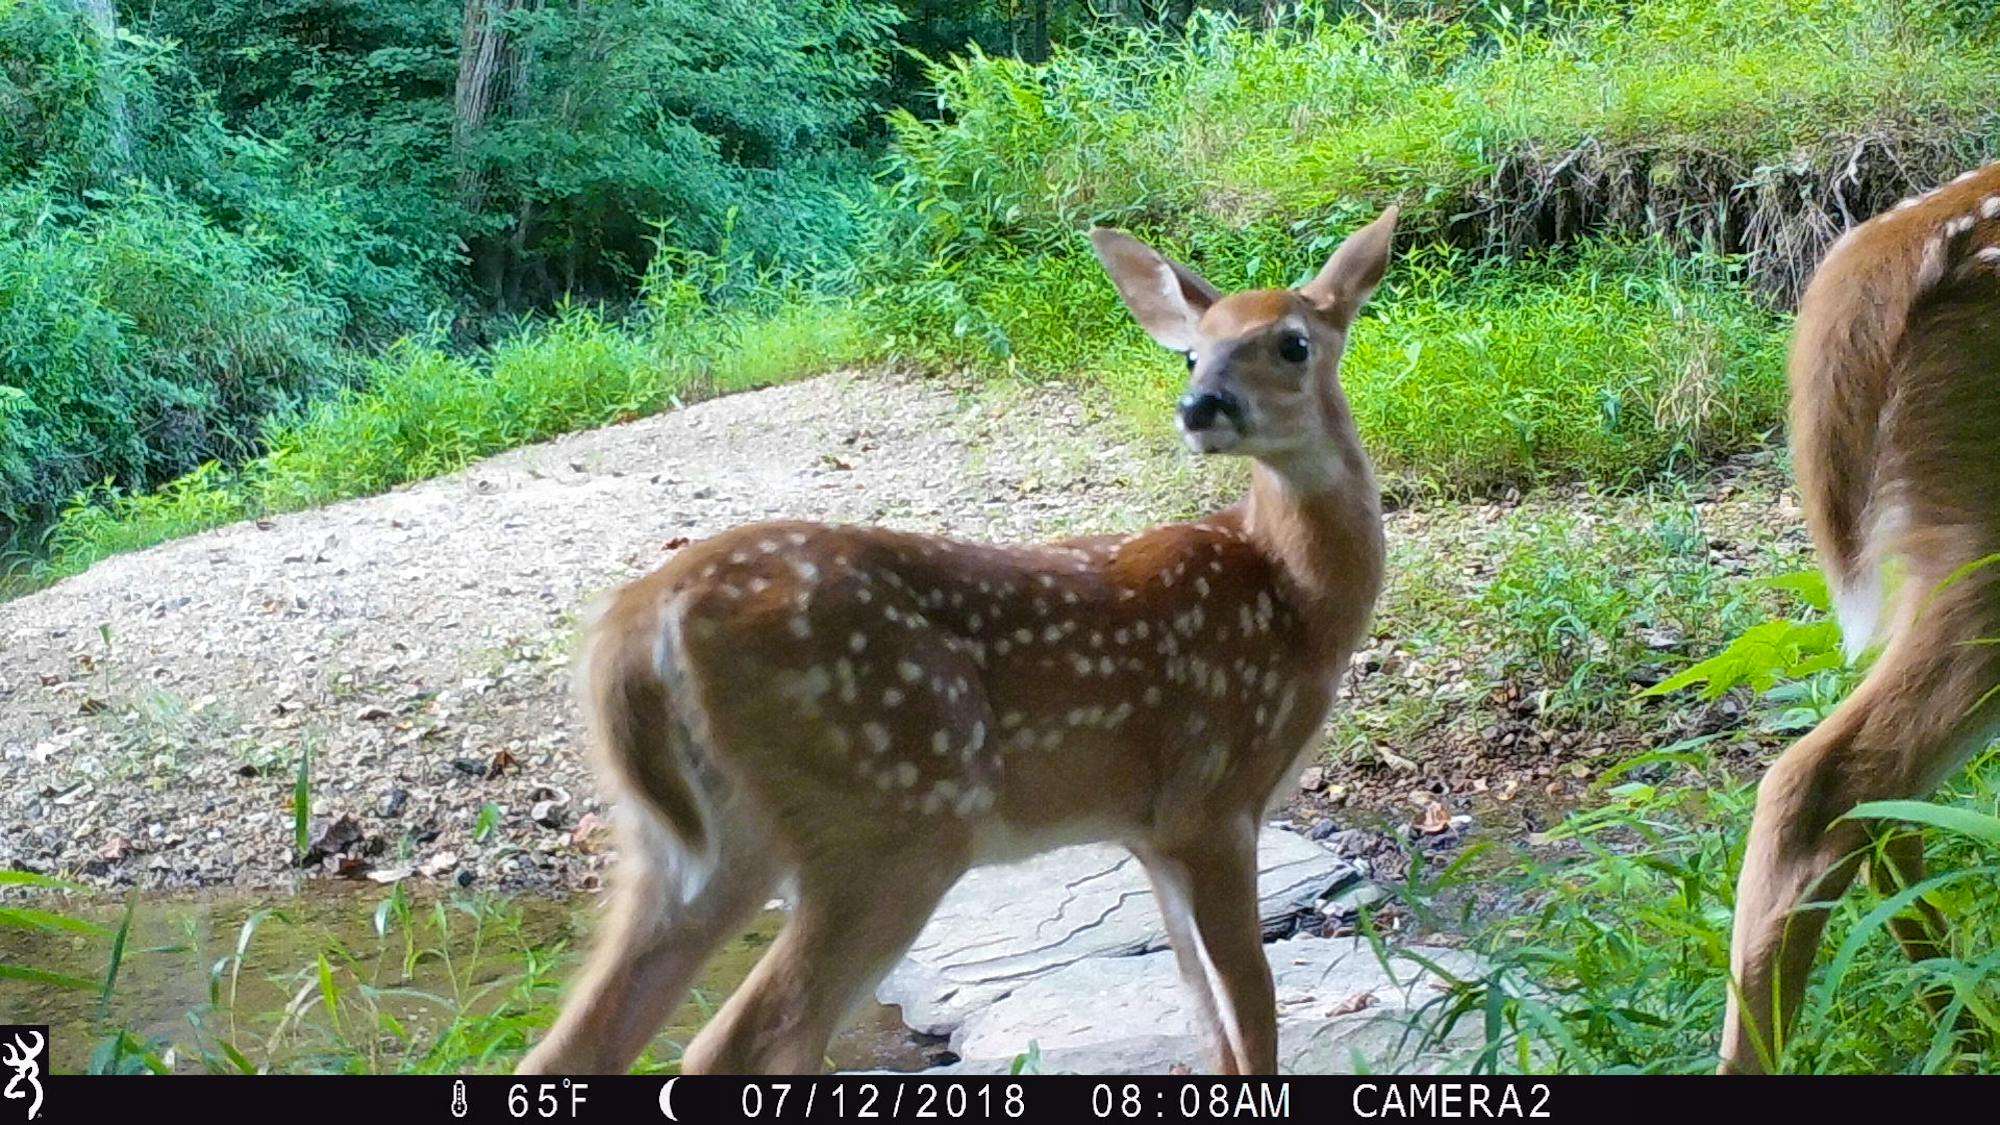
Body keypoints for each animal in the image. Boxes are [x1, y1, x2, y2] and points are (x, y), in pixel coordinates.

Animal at [512, 206, 1392, 1072]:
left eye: (1292, 342)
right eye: (1192, 353)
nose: (1202, 406)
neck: (1293, 597)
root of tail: (638, 620)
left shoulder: (1151, 831)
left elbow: (1207, 1022)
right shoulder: (1215, 799)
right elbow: (1255, 1011)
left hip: (693, 841)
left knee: (574, 1044)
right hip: (893, 818)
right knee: (743, 1039)